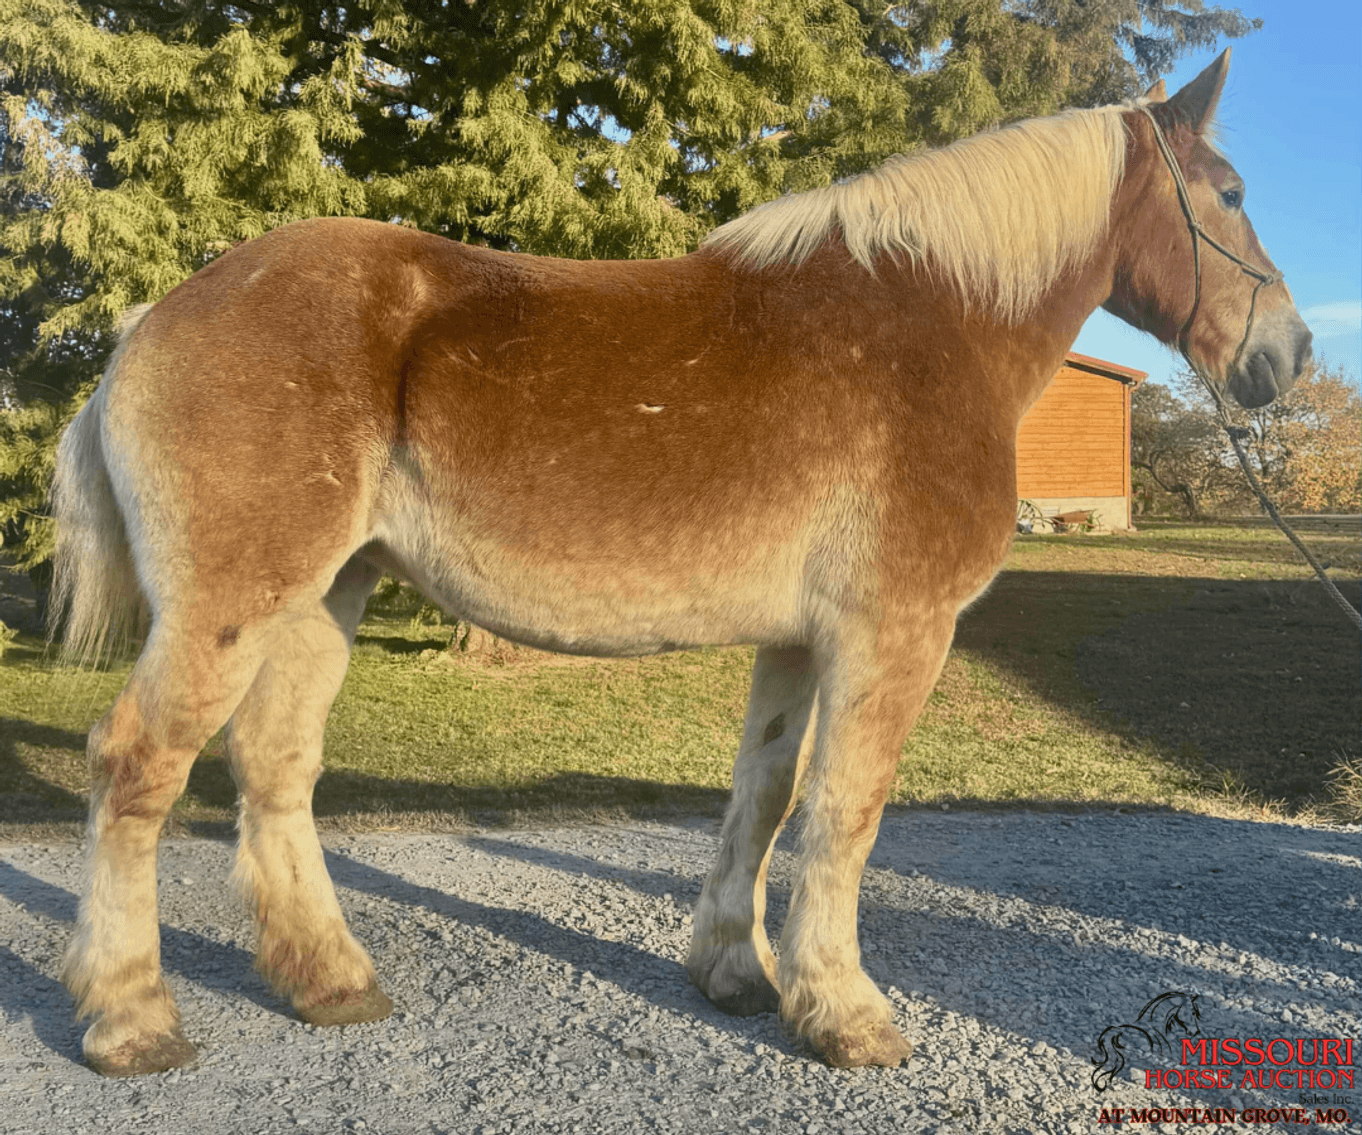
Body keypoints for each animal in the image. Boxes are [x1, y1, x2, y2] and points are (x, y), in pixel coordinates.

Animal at [48, 49, 1310, 1077]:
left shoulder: (799, 640)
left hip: (325, 595)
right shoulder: (895, 632)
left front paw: (736, 972)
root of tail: (153, 321)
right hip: (229, 607)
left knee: (275, 766)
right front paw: (845, 1014)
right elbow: (846, 810)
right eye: (1233, 194)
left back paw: (331, 982)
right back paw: (130, 1020)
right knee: (136, 765)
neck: (929, 322)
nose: (1288, 355)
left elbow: (767, 795)